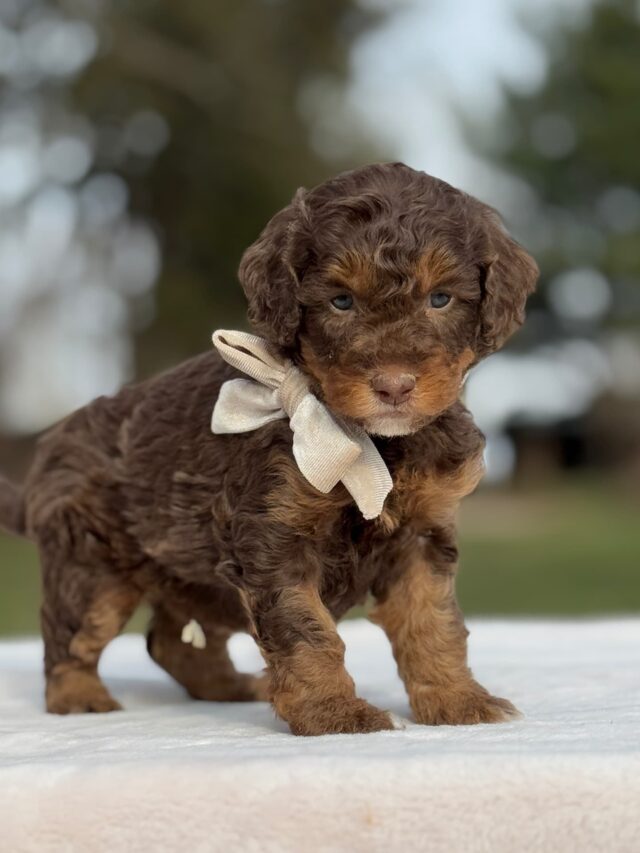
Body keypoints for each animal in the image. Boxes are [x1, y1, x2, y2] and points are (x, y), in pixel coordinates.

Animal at [0, 165, 540, 732]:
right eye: (341, 301)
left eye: (440, 299)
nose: (394, 386)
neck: (366, 440)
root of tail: (53, 444)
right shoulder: (274, 533)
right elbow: (306, 629)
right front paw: (333, 711)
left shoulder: (421, 535)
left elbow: (432, 621)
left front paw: (457, 700)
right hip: (92, 566)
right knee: (71, 633)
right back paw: (78, 696)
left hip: (197, 578)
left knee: (171, 642)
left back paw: (229, 688)